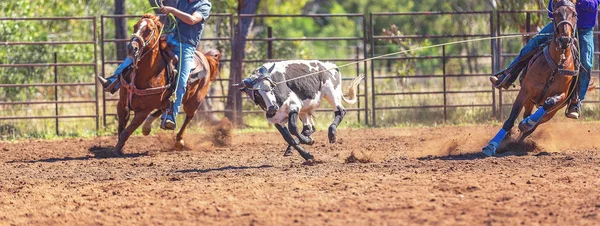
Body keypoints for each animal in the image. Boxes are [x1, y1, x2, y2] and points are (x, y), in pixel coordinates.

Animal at [112, 14, 220, 155]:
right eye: (135, 26)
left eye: (149, 29)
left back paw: (178, 140)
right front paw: (120, 148)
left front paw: (117, 150)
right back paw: (148, 126)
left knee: (189, 116)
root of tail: (205, 57)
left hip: (194, 101)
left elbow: (126, 131)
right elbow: (121, 129)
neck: (145, 74)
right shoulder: (122, 104)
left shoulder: (143, 111)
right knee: (164, 109)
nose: (131, 48)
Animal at [482, 0, 580, 155]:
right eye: (556, 13)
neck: (556, 64)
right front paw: (491, 146)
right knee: (524, 115)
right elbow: (510, 120)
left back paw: (523, 131)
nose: (564, 40)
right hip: (530, 100)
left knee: (533, 123)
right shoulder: (525, 91)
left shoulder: (562, 95)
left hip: (551, 113)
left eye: (574, 14)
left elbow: (549, 102)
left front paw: (527, 124)